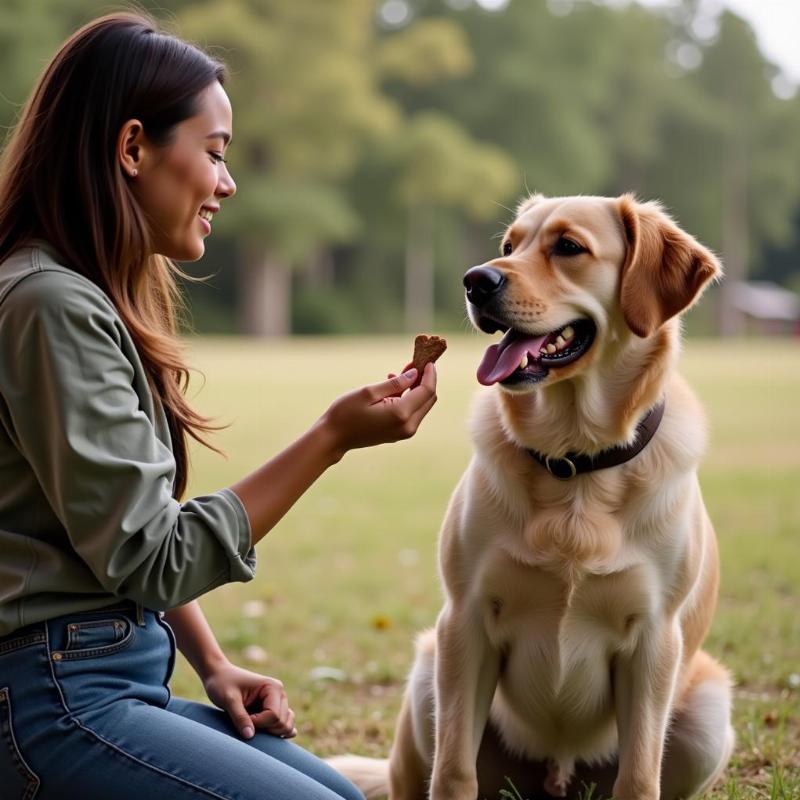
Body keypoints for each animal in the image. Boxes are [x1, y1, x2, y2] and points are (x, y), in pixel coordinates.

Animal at [328, 195, 736, 800]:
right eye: (508, 245)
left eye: (568, 247)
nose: (475, 281)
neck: (575, 462)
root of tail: (556, 776)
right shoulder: (466, 621)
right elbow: (453, 772)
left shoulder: (655, 641)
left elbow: (641, 776)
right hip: (428, 673)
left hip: (708, 712)